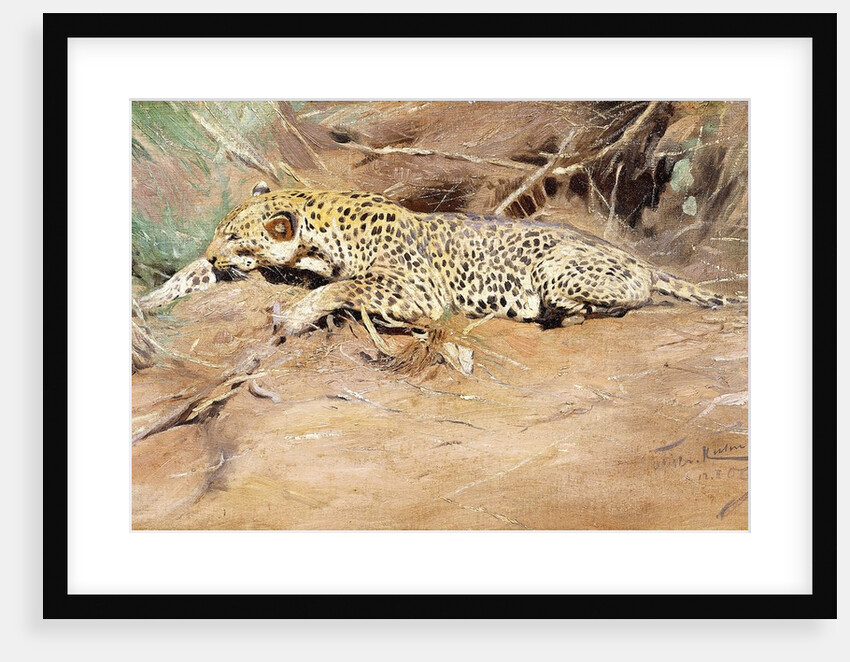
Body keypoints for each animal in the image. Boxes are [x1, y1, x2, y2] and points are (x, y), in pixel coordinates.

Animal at [139, 182, 744, 336]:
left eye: (235, 239)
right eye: (218, 235)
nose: (213, 252)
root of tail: (635, 255)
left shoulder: (419, 290)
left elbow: (344, 286)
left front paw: (296, 314)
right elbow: (189, 278)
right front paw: (146, 302)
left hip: (558, 270)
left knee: (623, 300)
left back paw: (555, 314)